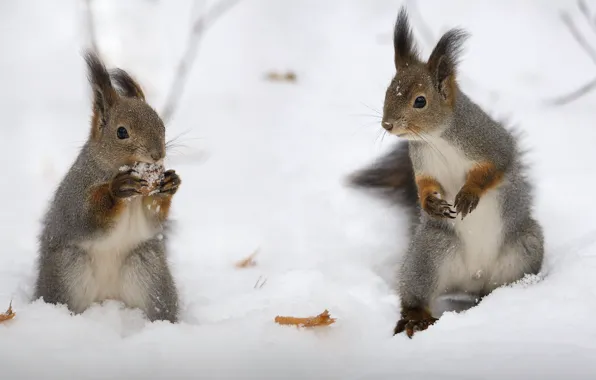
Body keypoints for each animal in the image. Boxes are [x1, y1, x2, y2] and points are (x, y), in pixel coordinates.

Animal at [32, 50, 180, 322]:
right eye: (121, 132)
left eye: (161, 123)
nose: (158, 154)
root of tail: (108, 299)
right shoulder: (76, 193)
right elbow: (87, 217)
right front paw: (116, 189)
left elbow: (152, 219)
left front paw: (169, 184)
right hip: (67, 268)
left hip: (148, 268)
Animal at [352, 7, 548, 336]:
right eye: (388, 92)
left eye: (420, 101)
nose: (387, 125)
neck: (438, 138)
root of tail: (472, 280)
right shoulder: (421, 163)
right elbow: (424, 184)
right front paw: (431, 203)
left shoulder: (492, 143)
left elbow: (495, 168)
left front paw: (468, 194)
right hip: (429, 254)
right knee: (417, 294)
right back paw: (416, 318)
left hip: (524, 247)